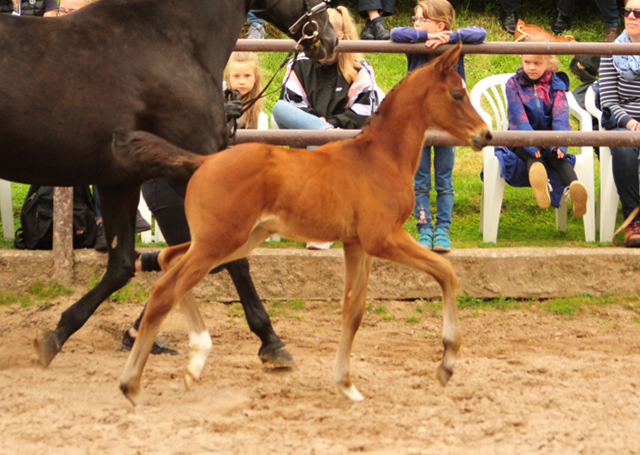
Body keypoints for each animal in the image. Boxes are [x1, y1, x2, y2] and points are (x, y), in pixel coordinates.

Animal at [117, 44, 492, 404]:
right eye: (457, 95)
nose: (485, 135)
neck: (381, 157)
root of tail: (203, 161)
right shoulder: (382, 237)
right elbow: (446, 272)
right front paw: (447, 363)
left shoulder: (357, 245)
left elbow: (353, 310)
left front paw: (346, 384)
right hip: (219, 242)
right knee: (165, 289)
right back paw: (132, 384)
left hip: (234, 239)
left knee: (169, 261)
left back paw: (196, 358)